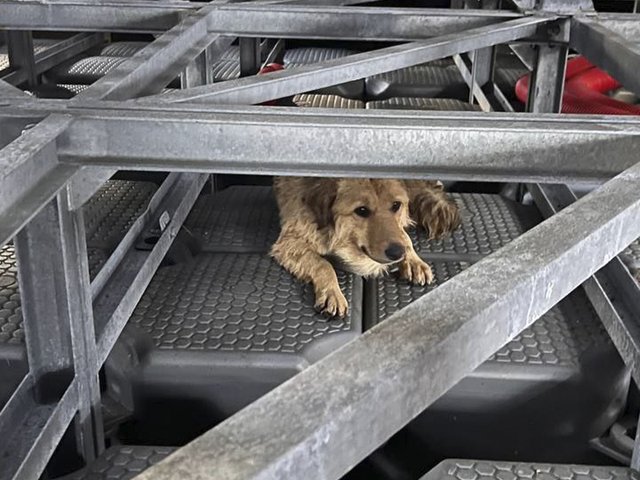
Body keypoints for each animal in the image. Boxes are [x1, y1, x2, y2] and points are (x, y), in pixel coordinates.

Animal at [270, 178, 460, 316]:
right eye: (361, 210)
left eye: (396, 205)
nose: (397, 253)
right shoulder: (289, 241)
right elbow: (323, 264)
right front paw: (332, 292)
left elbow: (404, 235)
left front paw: (413, 261)